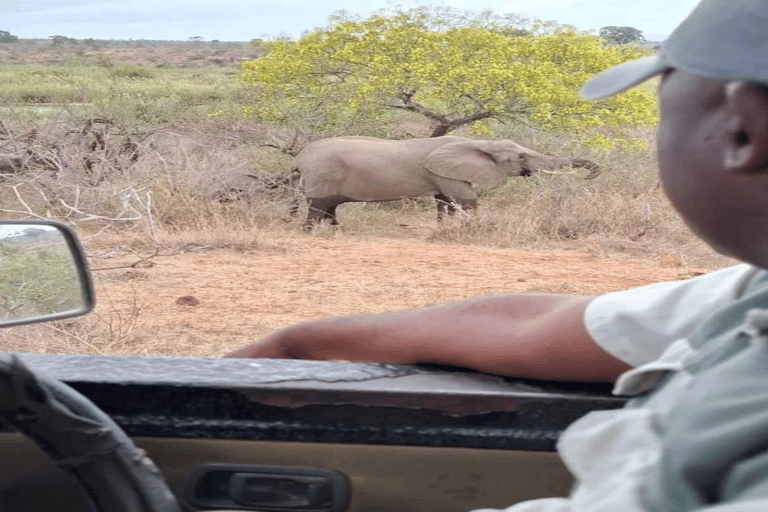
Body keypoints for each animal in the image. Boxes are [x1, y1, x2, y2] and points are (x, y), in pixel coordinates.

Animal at [288, 135, 600, 225]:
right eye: (521, 157)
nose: (591, 175)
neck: (478, 141)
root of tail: (298, 158)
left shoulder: (443, 175)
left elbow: (445, 203)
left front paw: (445, 227)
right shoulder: (444, 172)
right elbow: (466, 200)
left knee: (330, 208)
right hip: (323, 174)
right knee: (318, 207)